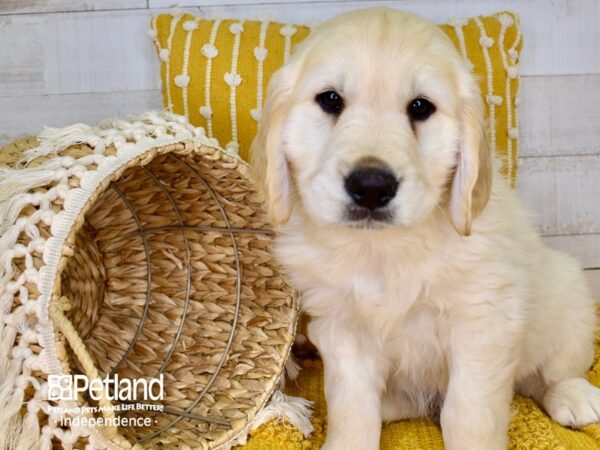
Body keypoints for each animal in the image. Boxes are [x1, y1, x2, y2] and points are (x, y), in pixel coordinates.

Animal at [250, 7, 600, 450]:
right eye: (330, 100)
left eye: (420, 107)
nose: (371, 187)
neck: (384, 250)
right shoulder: (342, 327)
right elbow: (353, 407)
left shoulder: (483, 322)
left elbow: (467, 414)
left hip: (568, 299)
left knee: (552, 372)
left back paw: (574, 396)